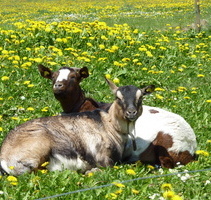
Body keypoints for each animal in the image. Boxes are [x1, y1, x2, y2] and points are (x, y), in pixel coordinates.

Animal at [0, 79, 155, 175]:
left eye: (141, 97)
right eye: (118, 98)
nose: (131, 112)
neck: (108, 125)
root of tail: (4, 157)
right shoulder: (102, 157)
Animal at [39, 65, 198, 168]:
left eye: (73, 77)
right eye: (53, 77)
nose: (58, 86)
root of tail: (191, 149)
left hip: (167, 143)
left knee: (167, 164)